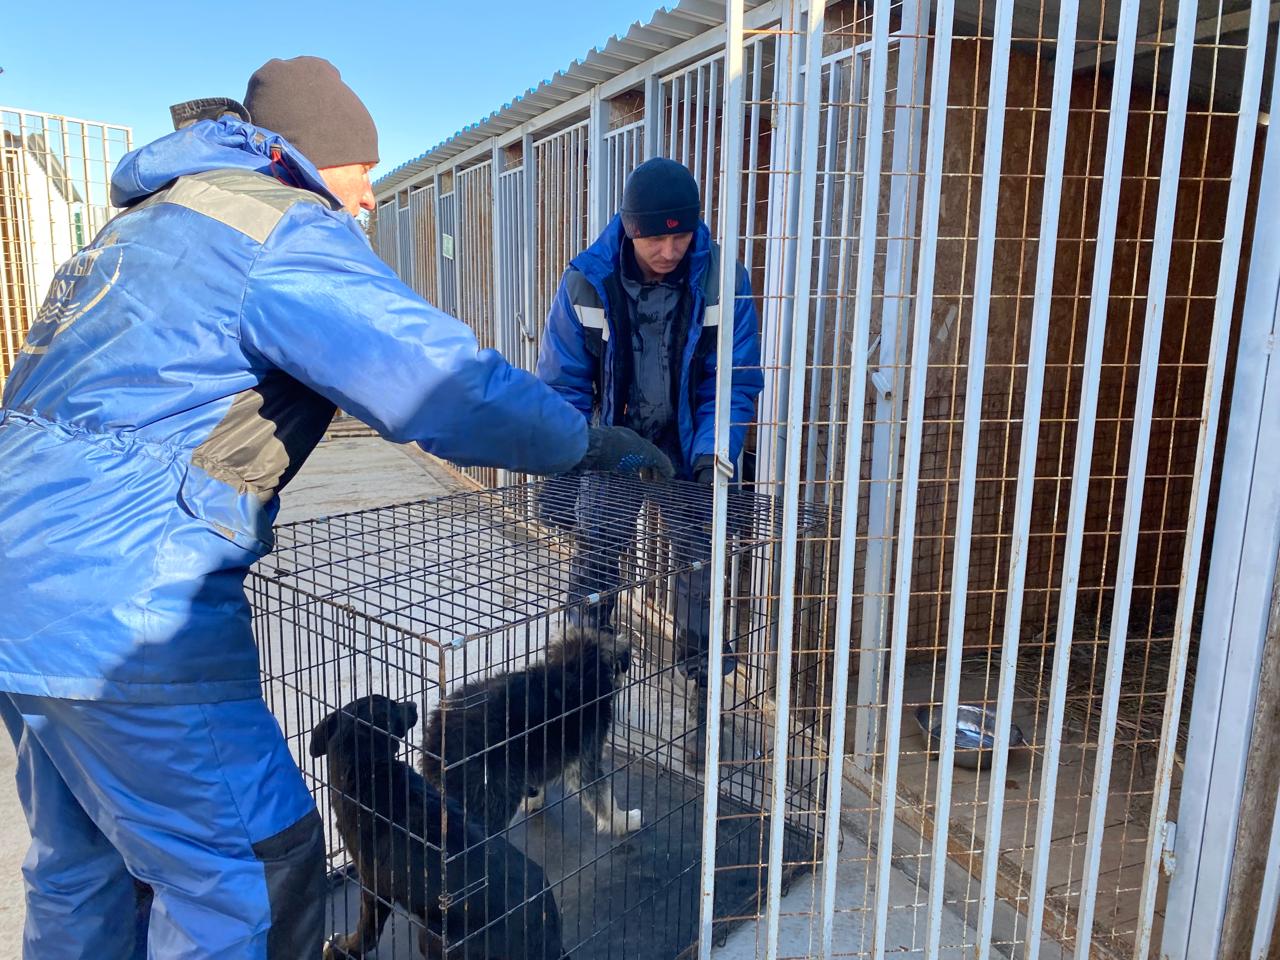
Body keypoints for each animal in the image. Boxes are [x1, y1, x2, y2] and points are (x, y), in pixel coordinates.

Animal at [307, 701, 563, 960]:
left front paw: (343, 948)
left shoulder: (373, 885)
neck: (367, 769)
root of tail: (550, 942)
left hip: (433, 934)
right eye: (393, 705)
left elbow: (366, 929)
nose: (412, 703)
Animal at [422, 624, 640, 839]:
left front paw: (534, 798)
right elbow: (603, 797)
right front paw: (624, 821)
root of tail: (435, 746)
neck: (576, 669)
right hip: (493, 795)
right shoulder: (585, 758)